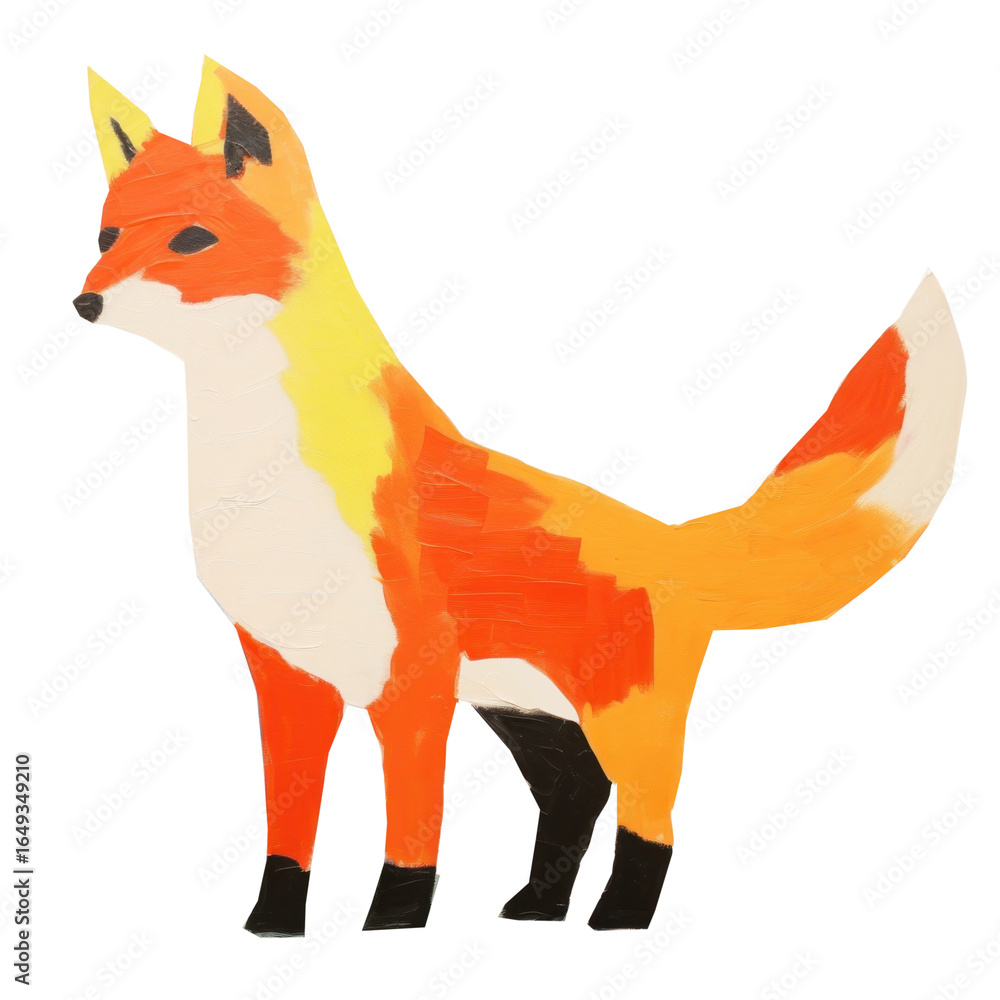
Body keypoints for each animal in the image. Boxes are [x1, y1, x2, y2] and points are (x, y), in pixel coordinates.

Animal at [75, 58, 966, 934]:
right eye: (108, 236)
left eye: (193, 238)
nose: (84, 301)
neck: (269, 484)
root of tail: (672, 540)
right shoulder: (287, 673)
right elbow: (287, 829)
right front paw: (272, 925)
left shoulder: (416, 675)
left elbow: (414, 828)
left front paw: (393, 923)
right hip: (530, 713)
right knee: (576, 794)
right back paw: (539, 905)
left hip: (624, 719)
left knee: (652, 819)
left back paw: (618, 918)